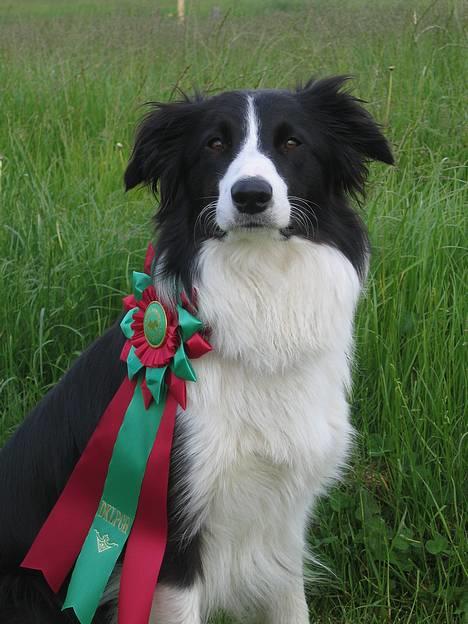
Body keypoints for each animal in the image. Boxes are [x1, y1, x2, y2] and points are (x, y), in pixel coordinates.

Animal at [0, 79, 394, 624]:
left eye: (293, 143)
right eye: (214, 144)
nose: (251, 195)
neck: (259, 292)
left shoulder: (283, 520)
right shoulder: (170, 538)